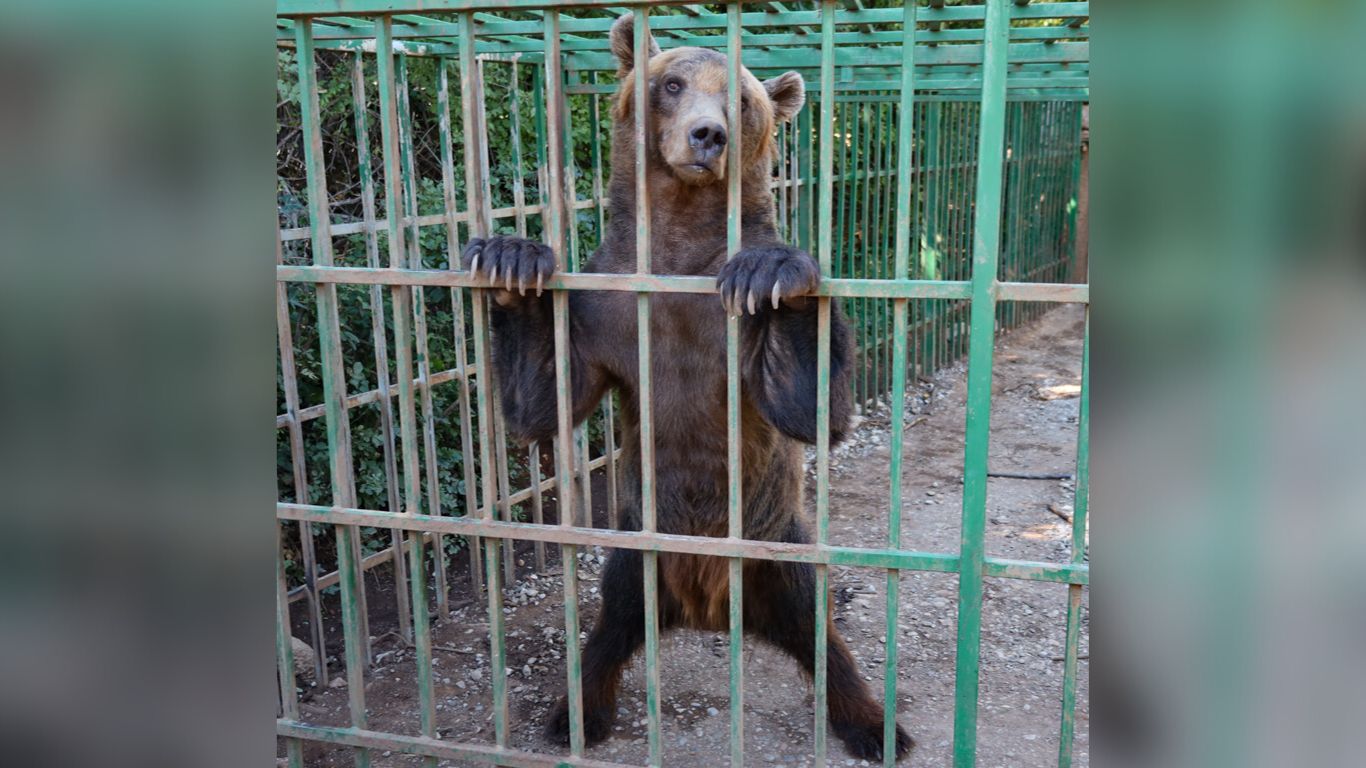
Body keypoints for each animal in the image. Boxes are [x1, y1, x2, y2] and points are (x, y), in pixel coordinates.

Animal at [461, 11, 917, 759]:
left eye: (741, 99)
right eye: (671, 83)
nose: (708, 134)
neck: (677, 244)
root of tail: (708, 607)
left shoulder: (726, 327)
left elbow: (809, 406)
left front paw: (776, 272)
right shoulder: (608, 307)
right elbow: (543, 402)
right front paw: (512, 259)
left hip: (776, 544)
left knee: (820, 633)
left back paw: (873, 724)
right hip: (634, 552)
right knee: (608, 629)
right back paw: (576, 713)